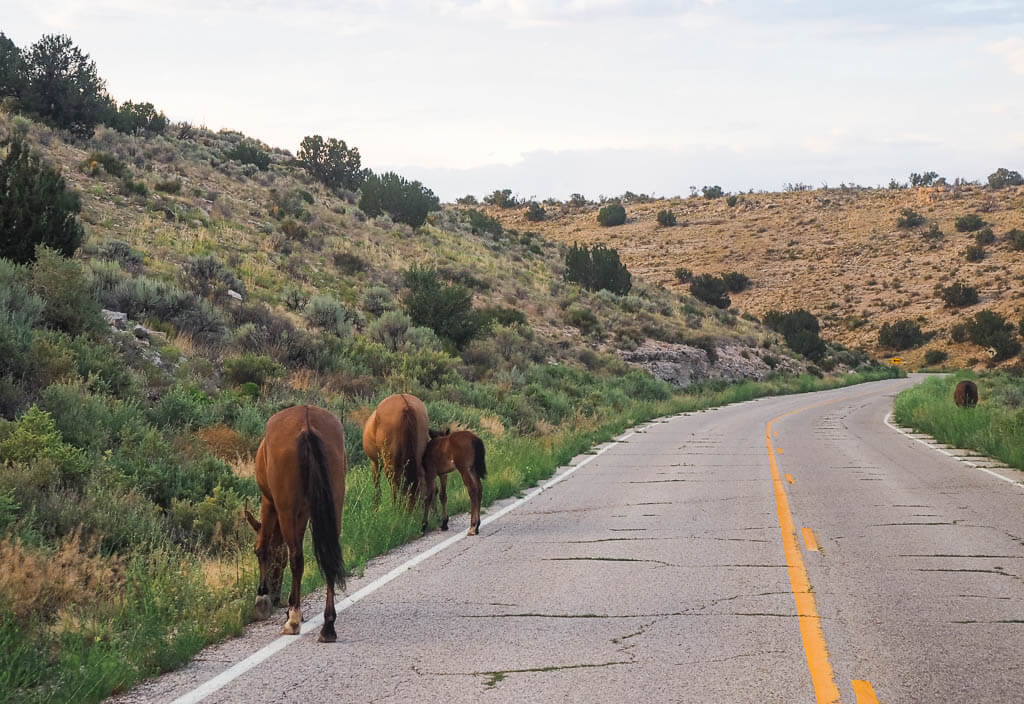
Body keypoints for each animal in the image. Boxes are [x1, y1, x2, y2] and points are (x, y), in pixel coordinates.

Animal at [243, 405, 348, 642]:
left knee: (297, 558)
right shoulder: (305, 512)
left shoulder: (269, 502)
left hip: (286, 508)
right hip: (334, 503)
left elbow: (263, 546)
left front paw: (262, 599)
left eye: (277, 563)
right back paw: (328, 625)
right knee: (329, 555)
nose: (275, 596)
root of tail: (306, 423)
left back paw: (293, 621)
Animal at [362, 392, 430, 523]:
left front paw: (376, 509)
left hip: (389, 463)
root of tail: (406, 406)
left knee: (395, 483)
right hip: (418, 456)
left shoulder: (375, 463)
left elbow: (377, 486)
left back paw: (396, 508)